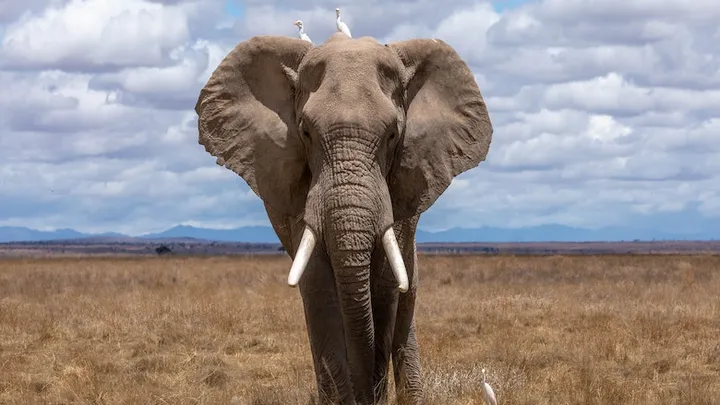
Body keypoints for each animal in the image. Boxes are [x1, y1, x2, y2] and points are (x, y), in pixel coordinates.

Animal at [194, 32, 493, 404]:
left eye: (393, 135)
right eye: (306, 132)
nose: (369, 395)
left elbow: (385, 285)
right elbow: (318, 284)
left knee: (406, 297)